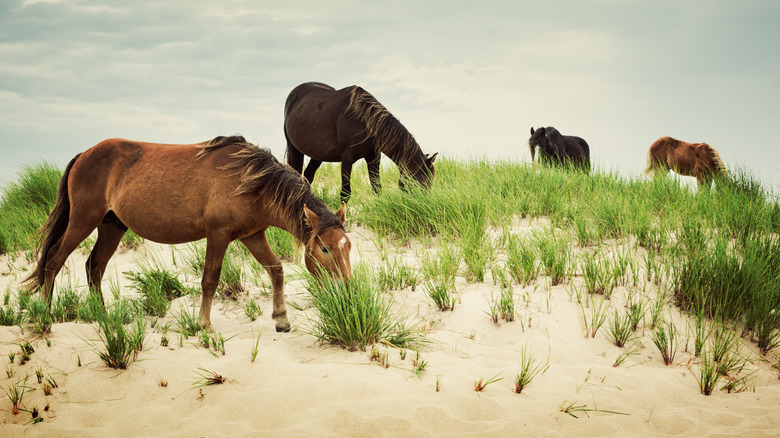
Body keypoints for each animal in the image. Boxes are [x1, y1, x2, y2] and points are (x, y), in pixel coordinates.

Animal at [25, 135, 350, 330]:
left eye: (348, 247)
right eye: (324, 249)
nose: (347, 290)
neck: (251, 181)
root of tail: (84, 154)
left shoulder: (253, 235)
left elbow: (276, 269)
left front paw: (281, 319)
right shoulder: (218, 235)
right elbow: (210, 280)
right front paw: (204, 325)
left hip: (111, 227)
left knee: (94, 266)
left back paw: (103, 318)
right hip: (82, 221)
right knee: (53, 260)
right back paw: (46, 316)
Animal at [284, 81, 436, 202]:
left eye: (430, 183)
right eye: (420, 183)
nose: (423, 205)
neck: (364, 121)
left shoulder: (373, 157)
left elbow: (376, 188)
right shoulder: (347, 158)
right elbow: (345, 193)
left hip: (318, 154)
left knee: (308, 175)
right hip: (294, 148)